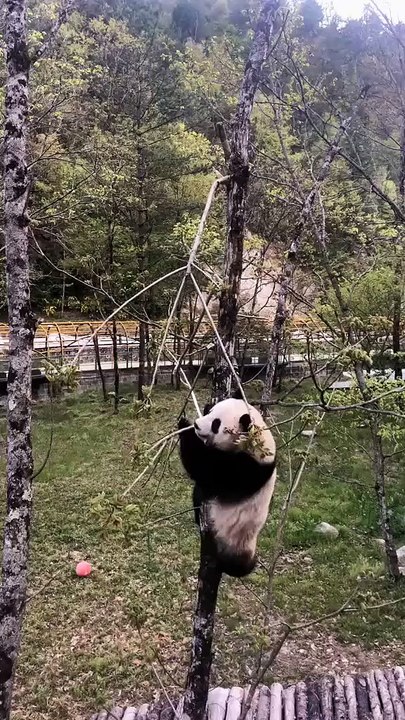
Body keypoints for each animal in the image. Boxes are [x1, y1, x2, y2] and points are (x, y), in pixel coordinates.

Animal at [178, 391, 276, 578]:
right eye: (211, 412)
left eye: (216, 423)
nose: (197, 424)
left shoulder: (248, 469)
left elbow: (206, 469)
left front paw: (185, 427)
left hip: (237, 542)